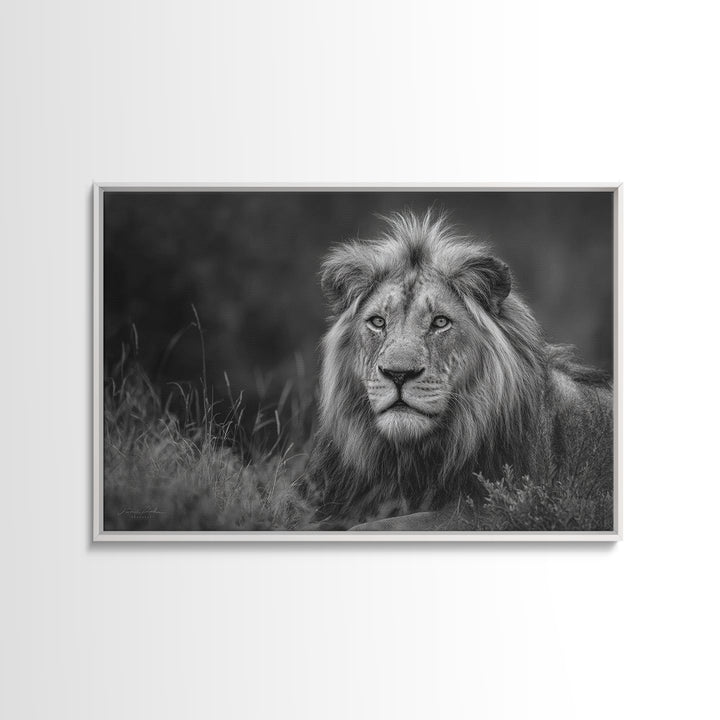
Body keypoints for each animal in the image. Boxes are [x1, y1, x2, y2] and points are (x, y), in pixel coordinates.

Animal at [304, 209, 613, 531]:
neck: (409, 459)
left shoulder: (493, 511)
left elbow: (379, 526)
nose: (398, 374)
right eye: (378, 322)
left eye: (440, 322)